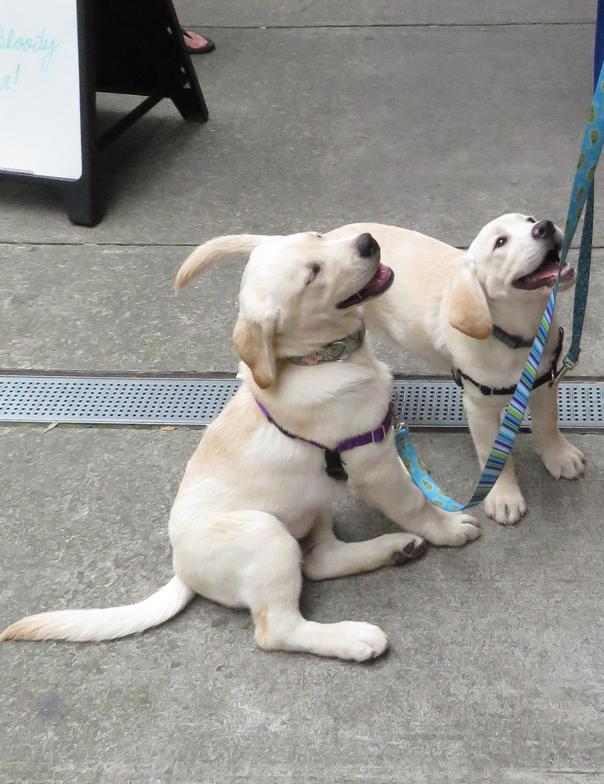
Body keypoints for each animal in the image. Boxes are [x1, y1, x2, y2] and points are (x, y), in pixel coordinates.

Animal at [1, 230, 482, 660]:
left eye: (318, 236)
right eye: (313, 274)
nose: (366, 241)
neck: (321, 360)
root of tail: (182, 570)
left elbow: (413, 483)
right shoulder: (371, 466)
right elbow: (413, 502)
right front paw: (448, 526)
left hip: (311, 502)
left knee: (318, 560)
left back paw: (393, 549)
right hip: (264, 533)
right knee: (276, 629)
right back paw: (353, 637)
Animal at [326, 213, 584, 528]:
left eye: (529, 220)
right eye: (500, 242)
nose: (544, 226)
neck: (517, 339)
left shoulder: (544, 382)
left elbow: (548, 424)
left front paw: (559, 456)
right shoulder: (478, 407)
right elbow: (492, 457)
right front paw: (504, 496)